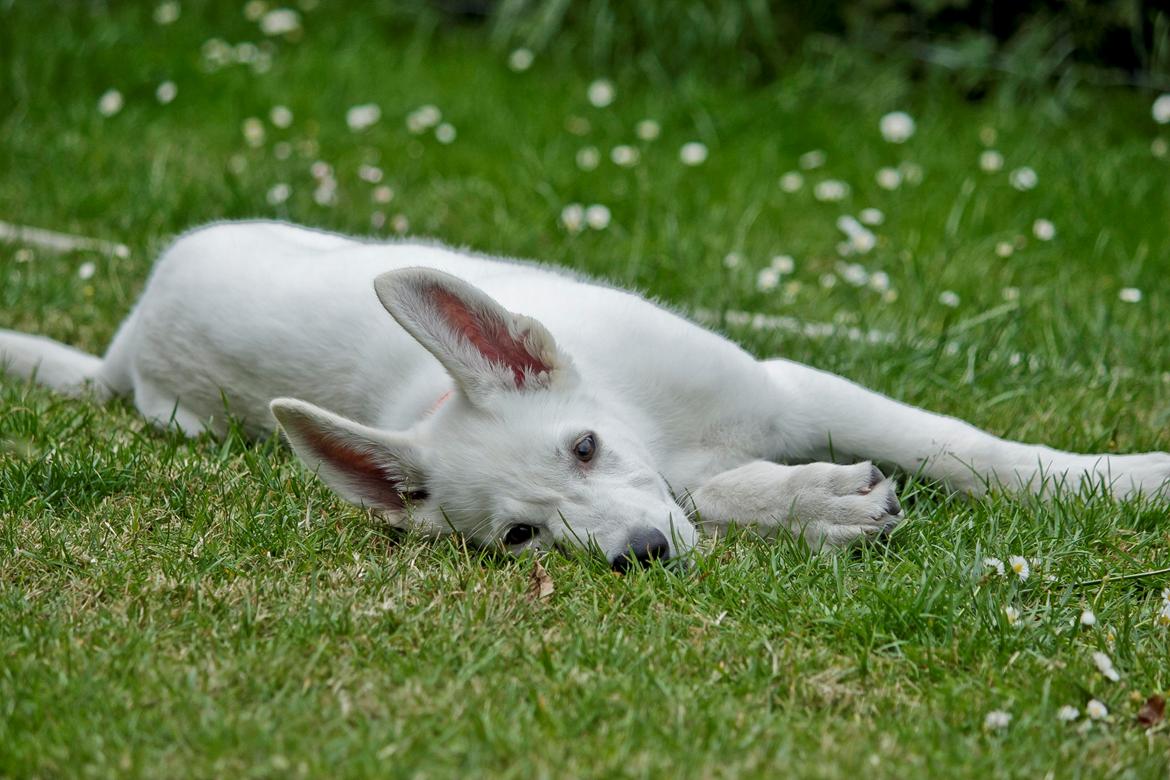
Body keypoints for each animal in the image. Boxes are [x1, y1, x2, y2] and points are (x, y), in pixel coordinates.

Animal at [2, 219, 1170, 568]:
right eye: (521, 537)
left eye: (584, 446)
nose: (637, 560)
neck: (658, 423)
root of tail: (124, 344)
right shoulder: (696, 470)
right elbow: (711, 496)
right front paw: (818, 507)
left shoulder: (790, 385)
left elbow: (968, 446)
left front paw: (1127, 480)